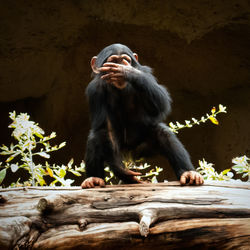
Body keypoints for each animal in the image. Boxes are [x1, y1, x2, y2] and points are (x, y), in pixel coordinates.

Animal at [81, 43, 204, 188]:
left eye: (125, 60)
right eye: (113, 60)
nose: (120, 66)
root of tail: (129, 152)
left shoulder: (146, 74)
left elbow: (160, 104)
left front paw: (127, 72)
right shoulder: (95, 90)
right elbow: (105, 127)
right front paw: (122, 171)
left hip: (145, 147)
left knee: (164, 134)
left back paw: (188, 173)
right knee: (95, 138)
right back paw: (94, 179)